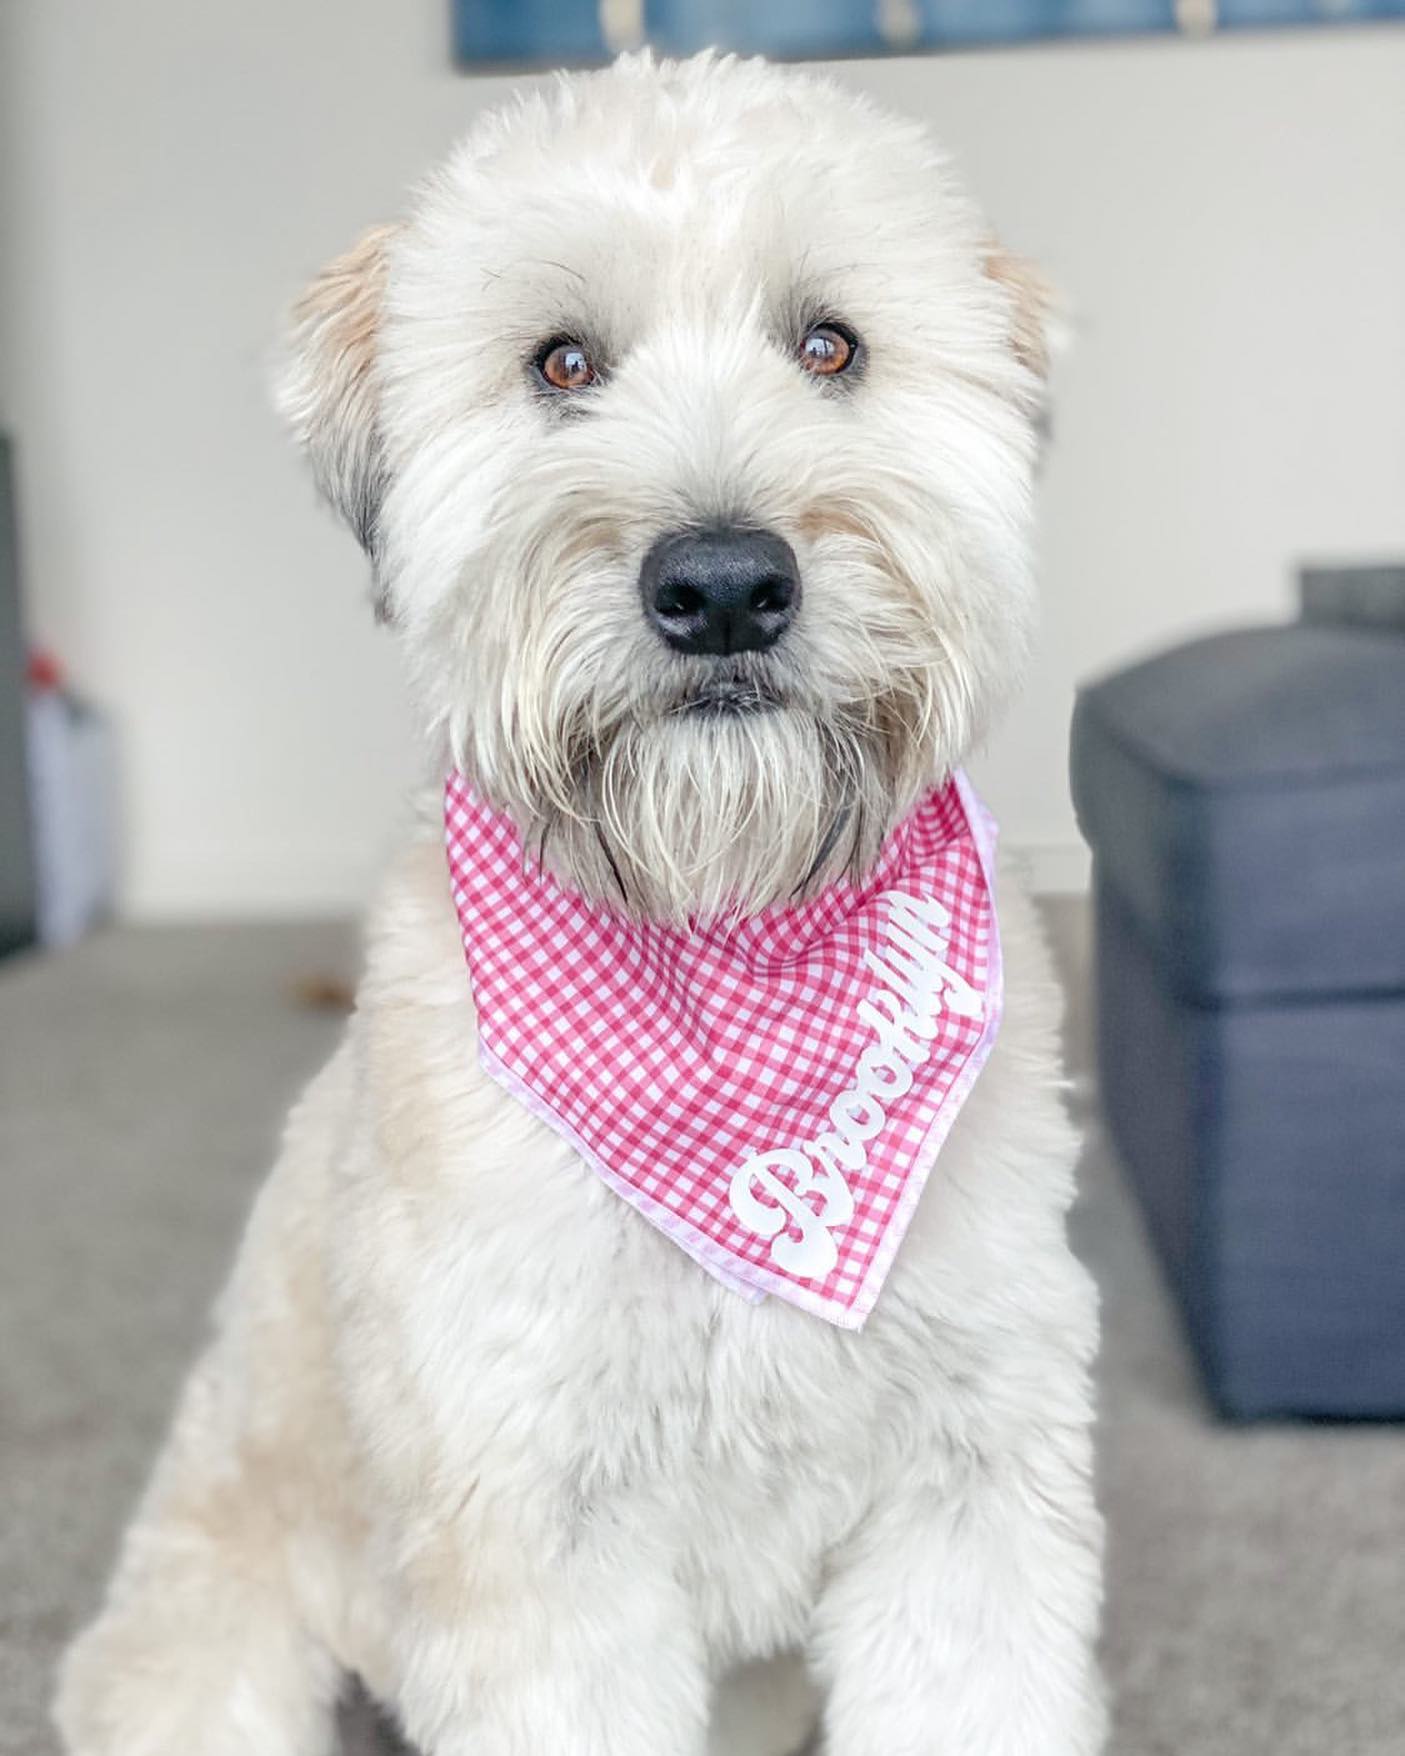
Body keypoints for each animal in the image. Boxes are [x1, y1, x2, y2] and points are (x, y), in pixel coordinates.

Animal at [57, 51, 1104, 1756]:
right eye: (561, 364)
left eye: (829, 344)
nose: (726, 584)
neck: (728, 940)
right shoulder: (533, 1541)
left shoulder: (971, 1488)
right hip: (206, 1650)